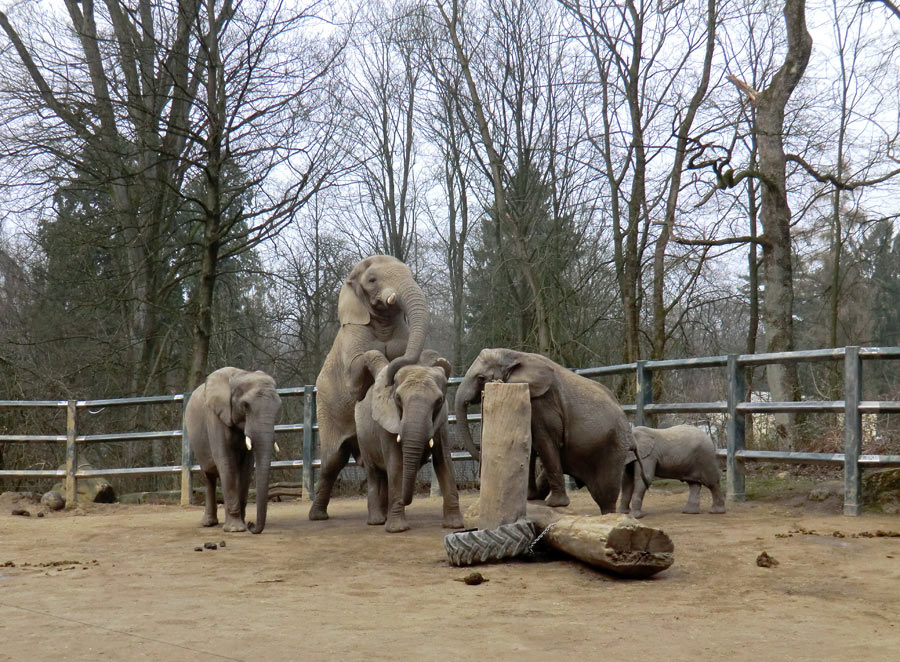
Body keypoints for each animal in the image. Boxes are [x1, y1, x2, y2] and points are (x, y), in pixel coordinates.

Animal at [184, 368, 280, 536]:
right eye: (245, 406)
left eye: (278, 407)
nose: (252, 524)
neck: (240, 375)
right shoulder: (215, 417)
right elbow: (226, 461)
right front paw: (236, 529)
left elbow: (246, 467)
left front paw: (242, 523)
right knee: (209, 475)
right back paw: (209, 523)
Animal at [310, 256, 428, 520]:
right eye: (372, 280)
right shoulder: (353, 334)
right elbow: (356, 379)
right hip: (325, 406)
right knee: (332, 461)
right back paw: (318, 516)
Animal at [354, 352, 464, 536]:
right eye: (397, 398)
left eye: (439, 400)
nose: (407, 500)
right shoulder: (387, 422)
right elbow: (396, 465)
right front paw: (397, 529)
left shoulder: (441, 422)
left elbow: (444, 462)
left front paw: (455, 526)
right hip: (362, 436)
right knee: (374, 473)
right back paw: (377, 521)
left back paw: (384, 516)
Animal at [458, 350, 640, 516]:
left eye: (480, 378)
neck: (514, 355)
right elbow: (531, 444)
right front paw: (530, 498)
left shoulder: (543, 403)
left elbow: (544, 442)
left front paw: (556, 504)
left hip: (612, 446)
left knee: (605, 493)